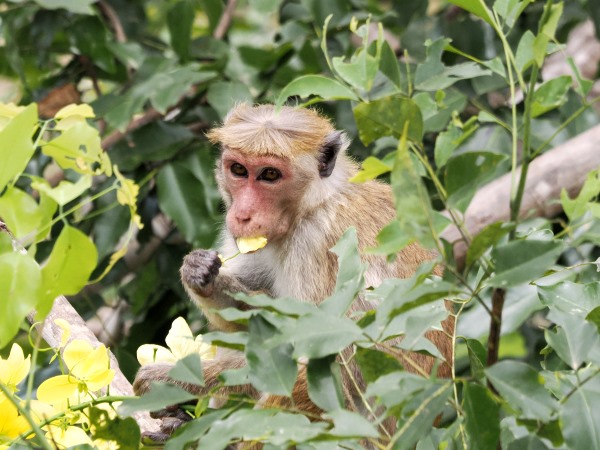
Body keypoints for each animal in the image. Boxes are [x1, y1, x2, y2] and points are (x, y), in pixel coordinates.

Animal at [133, 103, 454, 445]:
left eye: (270, 175)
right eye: (239, 170)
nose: (242, 215)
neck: (313, 203)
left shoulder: (314, 245)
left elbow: (326, 363)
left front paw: (170, 382)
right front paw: (202, 275)